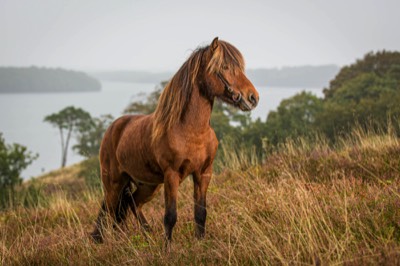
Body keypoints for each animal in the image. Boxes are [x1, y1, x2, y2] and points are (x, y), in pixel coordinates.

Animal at [90, 36, 260, 246]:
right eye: (225, 66)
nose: (252, 98)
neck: (191, 131)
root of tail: (113, 128)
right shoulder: (171, 176)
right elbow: (170, 217)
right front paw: (167, 249)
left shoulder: (203, 174)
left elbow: (200, 213)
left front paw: (200, 244)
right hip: (113, 183)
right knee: (109, 213)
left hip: (148, 185)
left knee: (131, 204)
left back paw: (147, 235)